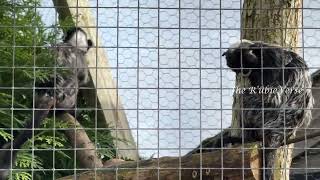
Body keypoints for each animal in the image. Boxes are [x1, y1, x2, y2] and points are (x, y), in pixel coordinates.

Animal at [186, 40, 314, 179]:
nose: (246, 72)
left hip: (266, 116)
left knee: (244, 96)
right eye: (240, 69)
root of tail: (281, 132)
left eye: (246, 65)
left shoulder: (272, 58)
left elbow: (273, 96)